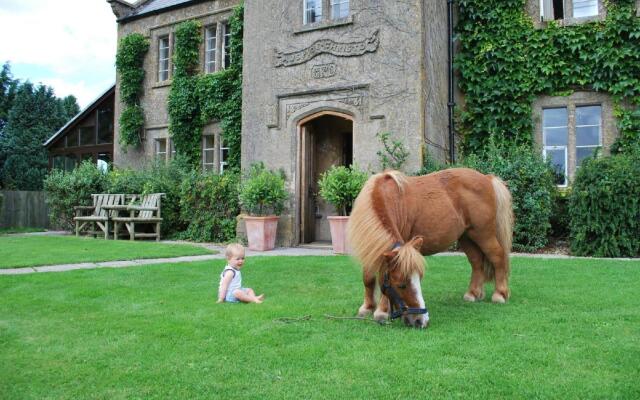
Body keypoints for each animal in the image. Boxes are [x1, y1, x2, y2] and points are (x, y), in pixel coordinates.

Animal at [348, 167, 512, 326]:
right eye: (402, 285)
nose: (422, 320)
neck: (383, 196)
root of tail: (487, 178)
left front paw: (381, 311)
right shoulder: (370, 248)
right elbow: (368, 279)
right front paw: (367, 308)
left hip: (483, 234)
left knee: (498, 257)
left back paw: (500, 294)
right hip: (467, 237)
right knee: (477, 262)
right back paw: (472, 294)